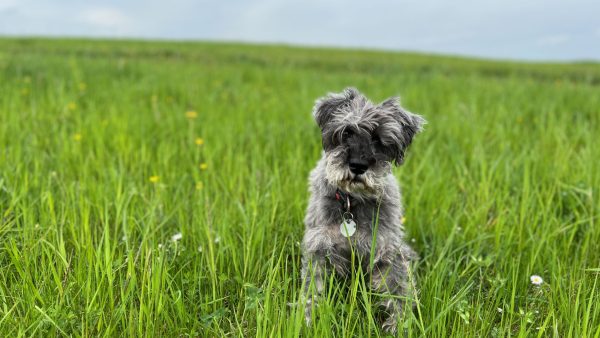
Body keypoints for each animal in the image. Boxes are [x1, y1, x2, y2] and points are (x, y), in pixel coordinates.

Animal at [300, 87, 426, 332]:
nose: (358, 166)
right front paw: (308, 319)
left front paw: (399, 324)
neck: (352, 202)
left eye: (379, 139)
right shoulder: (319, 248)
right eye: (347, 132)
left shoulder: (387, 251)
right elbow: (313, 288)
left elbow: (398, 289)